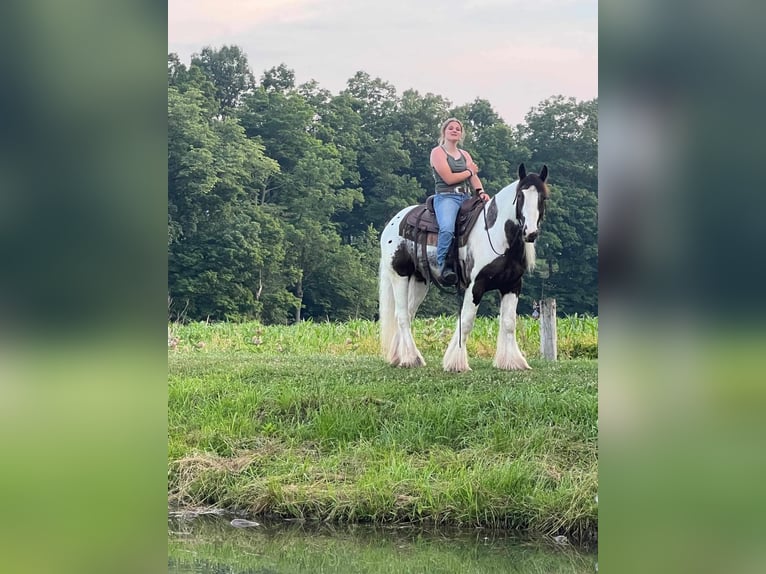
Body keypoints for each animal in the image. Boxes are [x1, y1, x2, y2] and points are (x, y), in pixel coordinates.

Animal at [380, 164, 548, 376]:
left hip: (420, 281)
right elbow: (467, 321)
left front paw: (512, 362)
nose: (530, 232)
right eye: (520, 195)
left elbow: (509, 322)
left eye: (543, 197)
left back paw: (399, 356)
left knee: (408, 314)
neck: (496, 235)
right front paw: (456, 362)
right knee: (402, 315)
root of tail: (395, 221)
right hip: (399, 275)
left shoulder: (512, 285)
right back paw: (411, 358)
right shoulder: (476, 285)